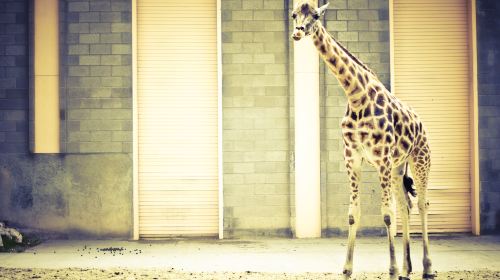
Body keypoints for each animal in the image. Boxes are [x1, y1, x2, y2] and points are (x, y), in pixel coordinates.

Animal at [292, 1, 436, 278]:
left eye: (315, 15)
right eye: (294, 14)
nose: (297, 32)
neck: (356, 96)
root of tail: (421, 122)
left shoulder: (382, 159)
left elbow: (387, 214)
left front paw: (391, 268)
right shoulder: (353, 158)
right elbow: (353, 214)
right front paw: (347, 268)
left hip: (420, 158)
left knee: (423, 203)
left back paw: (427, 267)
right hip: (398, 168)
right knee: (406, 206)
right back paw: (407, 269)